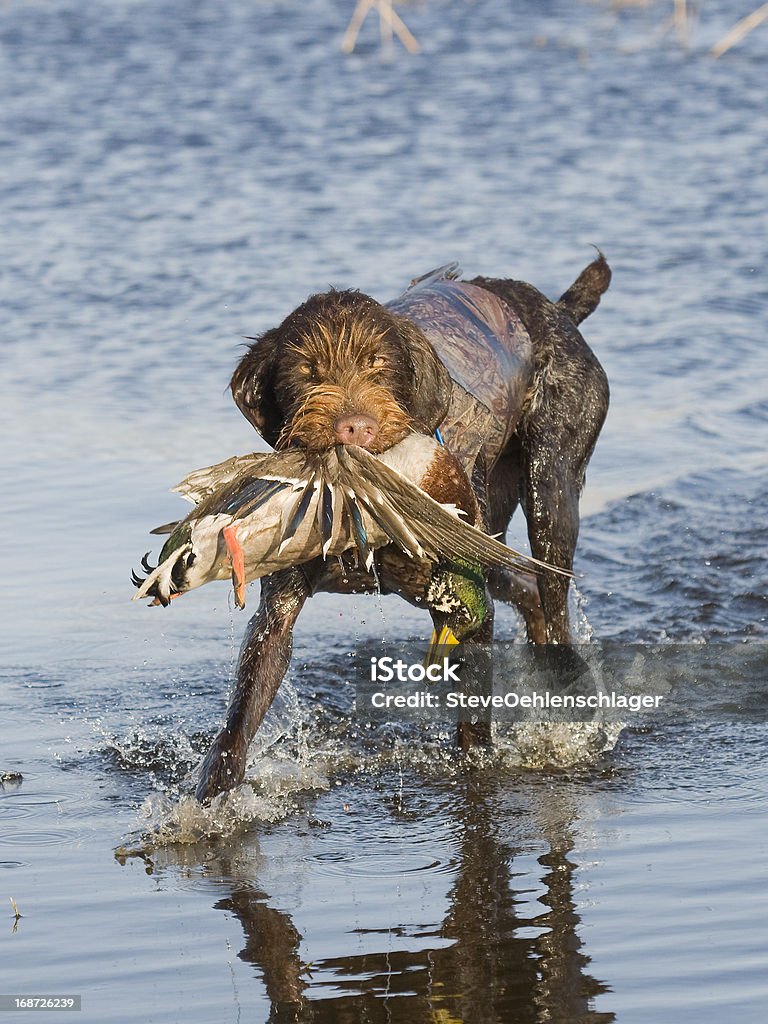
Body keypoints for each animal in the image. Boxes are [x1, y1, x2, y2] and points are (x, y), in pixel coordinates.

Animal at [198, 253, 614, 798]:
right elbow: (248, 697)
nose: (354, 427)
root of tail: (557, 310)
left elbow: (474, 713)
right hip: (492, 528)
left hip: (551, 485)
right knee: (525, 588)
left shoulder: (468, 600)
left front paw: (477, 766)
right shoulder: (279, 609)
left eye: (378, 362)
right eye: (306, 370)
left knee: (551, 587)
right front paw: (212, 788)